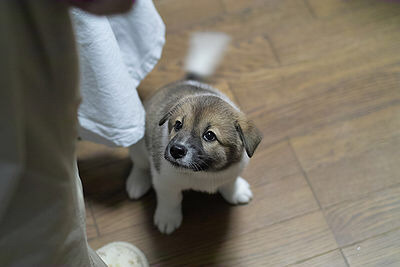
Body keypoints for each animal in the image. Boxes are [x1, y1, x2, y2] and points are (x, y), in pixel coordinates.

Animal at [126, 33, 262, 234]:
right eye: (178, 125)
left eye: (210, 135)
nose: (175, 150)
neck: (205, 172)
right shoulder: (165, 182)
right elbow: (170, 201)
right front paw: (167, 219)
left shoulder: (233, 171)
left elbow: (230, 182)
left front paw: (236, 192)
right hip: (138, 146)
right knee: (139, 164)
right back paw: (137, 182)